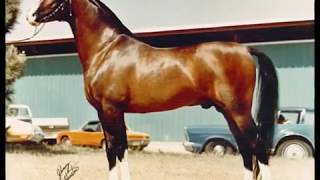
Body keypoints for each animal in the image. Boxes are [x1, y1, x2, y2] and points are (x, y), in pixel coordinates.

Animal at [26, 0, 278, 179]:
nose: (30, 16)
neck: (106, 49)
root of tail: (245, 49)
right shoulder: (104, 112)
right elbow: (113, 151)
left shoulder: (112, 110)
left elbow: (118, 149)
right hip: (229, 113)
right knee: (246, 151)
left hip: (238, 112)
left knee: (258, 148)